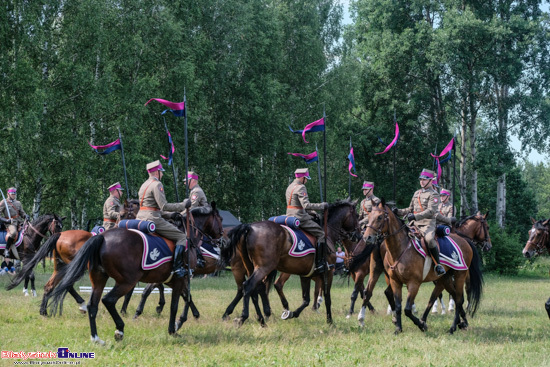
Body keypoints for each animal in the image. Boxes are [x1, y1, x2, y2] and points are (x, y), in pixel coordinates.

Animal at [7, 201, 139, 316]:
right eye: (121, 214)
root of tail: (60, 235)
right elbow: (129, 292)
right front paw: (125, 311)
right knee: (66, 284)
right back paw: (81, 305)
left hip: (61, 266)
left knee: (52, 284)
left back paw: (44, 310)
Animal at [47, 206, 224, 344]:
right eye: (220, 219)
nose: (222, 239)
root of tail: (102, 237)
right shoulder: (181, 278)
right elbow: (177, 304)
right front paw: (174, 327)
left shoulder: (171, 280)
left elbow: (185, 297)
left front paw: (178, 320)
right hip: (127, 281)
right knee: (108, 300)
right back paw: (119, 330)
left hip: (99, 279)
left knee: (92, 304)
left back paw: (96, 338)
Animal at [220, 200, 366, 326]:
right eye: (356, 215)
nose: (359, 236)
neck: (327, 232)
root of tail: (250, 227)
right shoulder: (327, 273)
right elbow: (326, 297)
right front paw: (330, 321)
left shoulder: (306, 275)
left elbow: (306, 299)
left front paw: (291, 314)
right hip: (263, 268)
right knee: (249, 286)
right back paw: (244, 317)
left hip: (253, 267)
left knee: (256, 288)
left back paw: (261, 318)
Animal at [358, 200, 484, 334]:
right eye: (369, 217)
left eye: (380, 217)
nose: (367, 237)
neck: (401, 249)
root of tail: (465, 241)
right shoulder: (395, 281)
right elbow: (399, 306)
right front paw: (399, 328)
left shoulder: (414, 284)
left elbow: (408, 309)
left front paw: (421, 324)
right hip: (446, 278)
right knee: (455, 297)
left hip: (460, 275)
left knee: (459, 299)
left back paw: (453, 327)